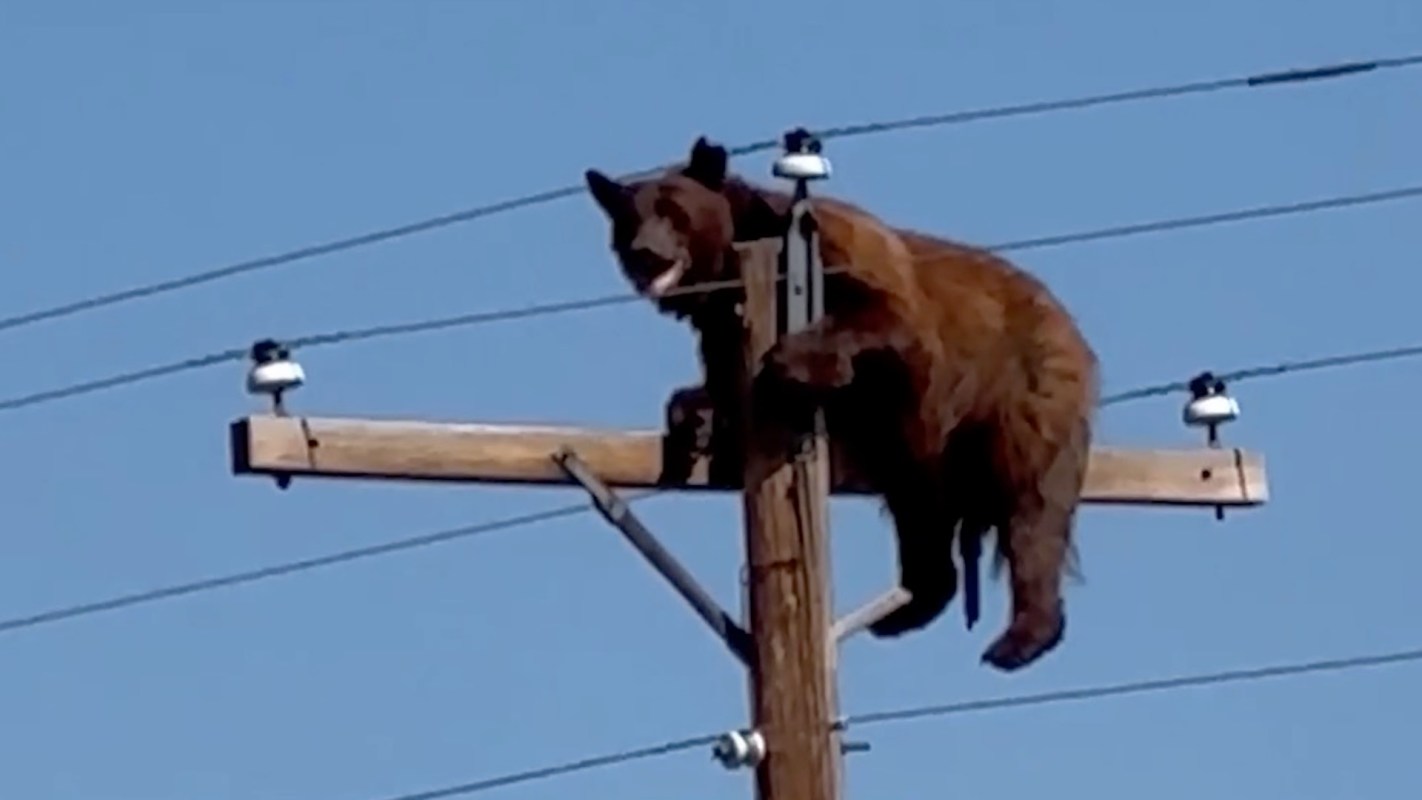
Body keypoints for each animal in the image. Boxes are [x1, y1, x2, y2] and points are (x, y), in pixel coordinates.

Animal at [583, 135, 1099, 671]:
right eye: (631, 219)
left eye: (673, 210)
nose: (645, 252)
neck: (732, 267)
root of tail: (1066, 321)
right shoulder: (721, 323)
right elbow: (720, 383)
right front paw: (694, 416)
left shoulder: (835, 253)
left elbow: (883, 315)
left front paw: (790, 365)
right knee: (918, 510)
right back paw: (910, 609)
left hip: (1021, 389)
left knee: (1032, 507)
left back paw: (1020, 636)